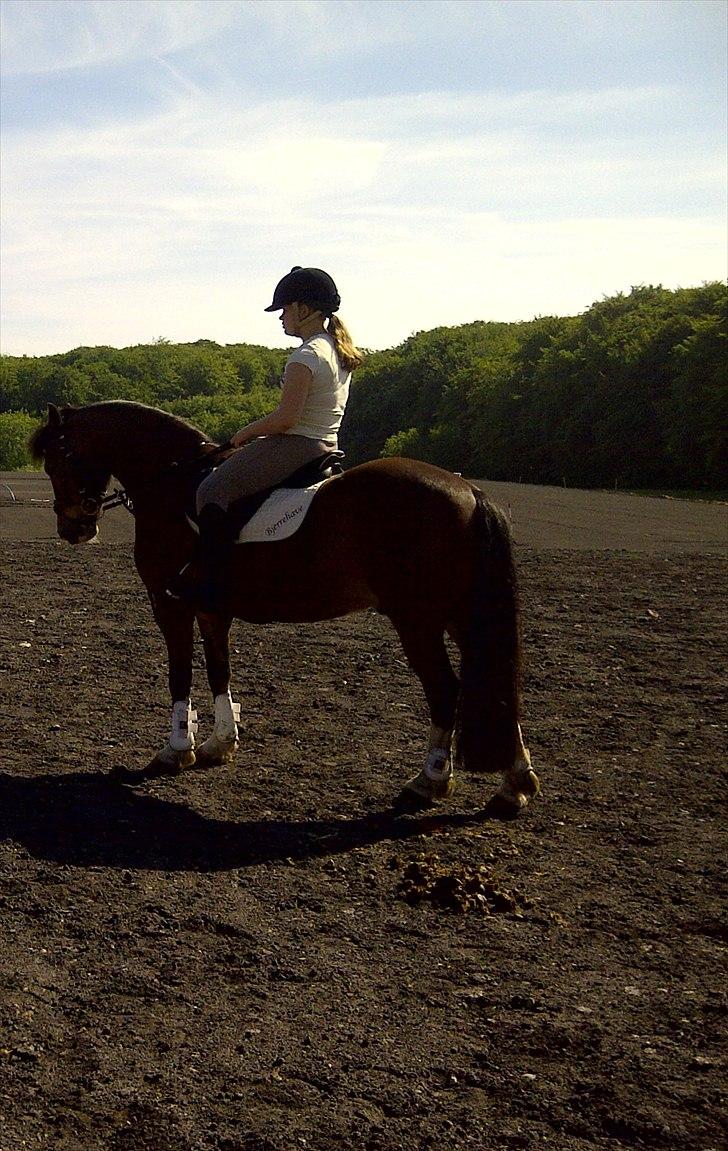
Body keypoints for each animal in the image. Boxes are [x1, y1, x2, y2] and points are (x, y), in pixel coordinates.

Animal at [29, 400, 541, 814]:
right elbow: (218, 670)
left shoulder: (168, 603)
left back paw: (428, 781)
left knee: (446, 690)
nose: (73, 528)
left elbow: (180, 674)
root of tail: (470, 491)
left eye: (60, 458)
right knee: (497, 681)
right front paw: (220, 744)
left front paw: (176, 750)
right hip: (461, 616)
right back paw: (514, 785)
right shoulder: (211, 610)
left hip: (418, 620)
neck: (172, 483)